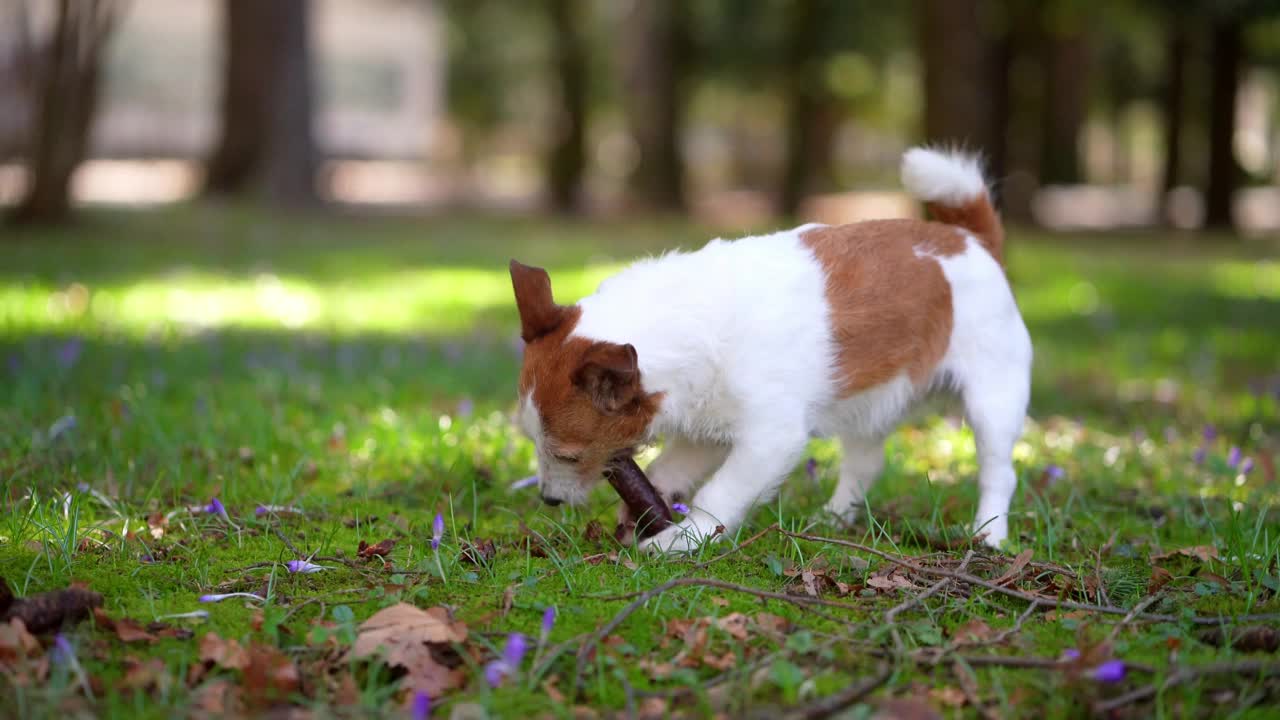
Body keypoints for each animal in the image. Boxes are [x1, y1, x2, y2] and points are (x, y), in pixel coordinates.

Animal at [509, 144, 1029, 548]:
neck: (697, 320)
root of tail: (972, 240)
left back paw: (989, 534)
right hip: (870, 402)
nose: (548, 500)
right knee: (864, 466)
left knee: (999, 472)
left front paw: (684, 539)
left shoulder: (770, 438)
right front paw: (645, 509)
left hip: (992, 399)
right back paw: (833, 519)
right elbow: (667, 469)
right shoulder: (704, 435)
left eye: (569, 455)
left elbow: (718, 494)